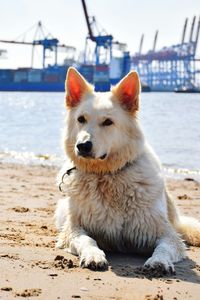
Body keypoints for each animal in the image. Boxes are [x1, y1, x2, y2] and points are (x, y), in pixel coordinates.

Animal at [54, 68, 200, 274]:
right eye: (81, 119)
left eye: (108, 122)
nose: (82, 146)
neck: (107, 175)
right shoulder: (74, 229)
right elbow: (87, 240)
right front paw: (93, 256)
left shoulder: (165, 233)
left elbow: (164, 247)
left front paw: (159, 262)